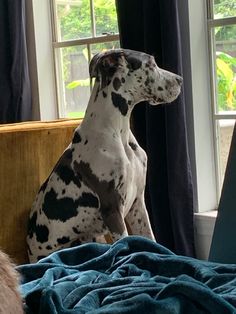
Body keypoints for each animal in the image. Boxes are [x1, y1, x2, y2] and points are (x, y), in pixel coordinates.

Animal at [27, 47, 183, 262]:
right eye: (151, 64)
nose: (180, 80)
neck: (118, 132)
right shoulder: (112, 208)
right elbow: (125, 244)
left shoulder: (138, 204)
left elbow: (151, 241)